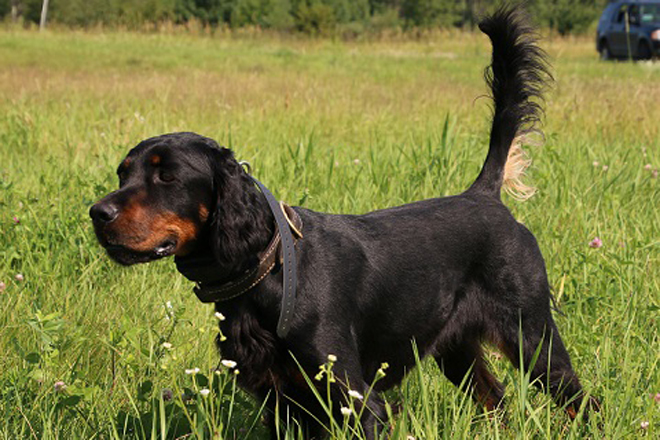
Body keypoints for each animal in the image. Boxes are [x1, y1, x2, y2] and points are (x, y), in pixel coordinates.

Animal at [89, 5, 600, 438]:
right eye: (123, 173)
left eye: (168, 175)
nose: (97, 213)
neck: (272, 271)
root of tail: (484, 195)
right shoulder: (281, 404)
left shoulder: (358, 402)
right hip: (457, 349)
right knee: (496, 399)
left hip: (532, 335)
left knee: (582, 399)